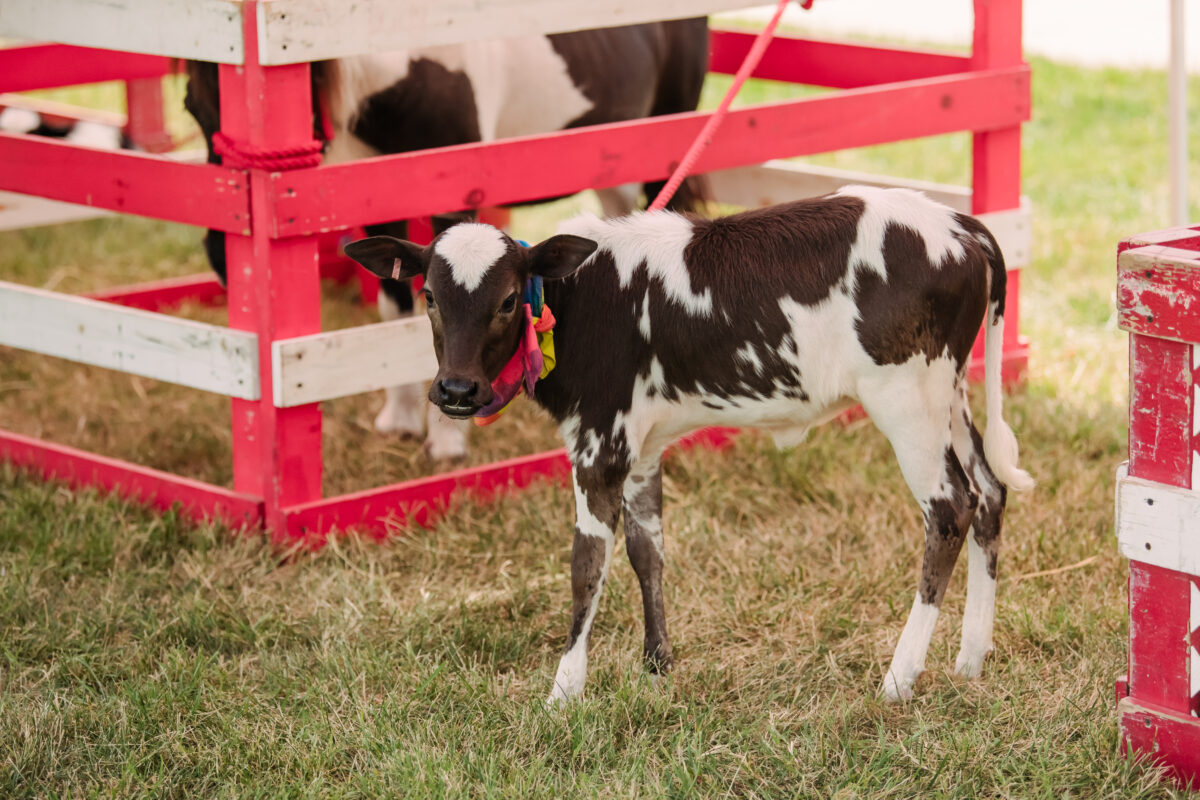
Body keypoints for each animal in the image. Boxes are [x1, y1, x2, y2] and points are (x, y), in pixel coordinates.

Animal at [182, 18, 705, 455]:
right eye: (190, 107)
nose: (224, 260)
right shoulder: (379, 202)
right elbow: (396, 307)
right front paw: (401, 421)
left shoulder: (453, 201)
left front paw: (448, 442)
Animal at [345, 185, 1032, 700]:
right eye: (429, 296)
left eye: (510, 299)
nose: (456, 390)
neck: (583, 297)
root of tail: (961, 224)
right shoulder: (644, 445)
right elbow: (647, 551)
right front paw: (657, 666)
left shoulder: (599, 444)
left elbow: (585, 565)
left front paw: (564, 692)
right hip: (949, 397)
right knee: (990, 493)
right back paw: (971, 658)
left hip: (907, 402)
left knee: (951, 509)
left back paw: (900, 676)